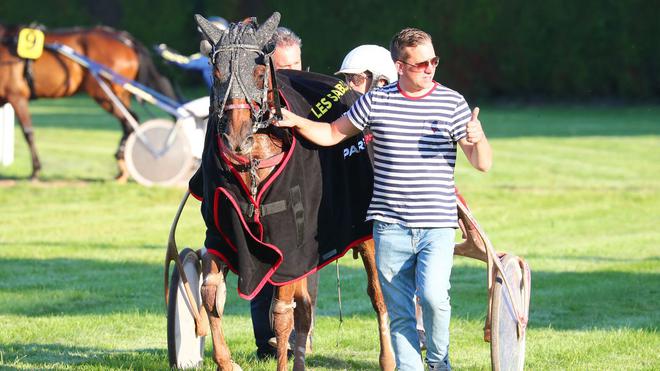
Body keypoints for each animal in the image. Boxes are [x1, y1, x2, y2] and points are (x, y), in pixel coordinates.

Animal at [0, 23, 178, 182]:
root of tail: (124, 38)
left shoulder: (16, 96)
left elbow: (28, 133)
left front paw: (35, 171)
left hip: (102, 92)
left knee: (130, 120)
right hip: (119, 93)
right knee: (128, 121)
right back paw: (121, 167)